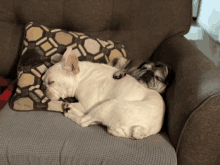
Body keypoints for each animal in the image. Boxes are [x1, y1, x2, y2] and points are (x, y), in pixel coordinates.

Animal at [41, 47, 172, 139]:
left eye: (51, 82)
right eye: (42, 80)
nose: (43, 87)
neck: (81, 77)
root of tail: (144, 130)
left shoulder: (85, 104)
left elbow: (81, 110)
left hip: (107, 105)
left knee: (83, 121)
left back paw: (69, 112)